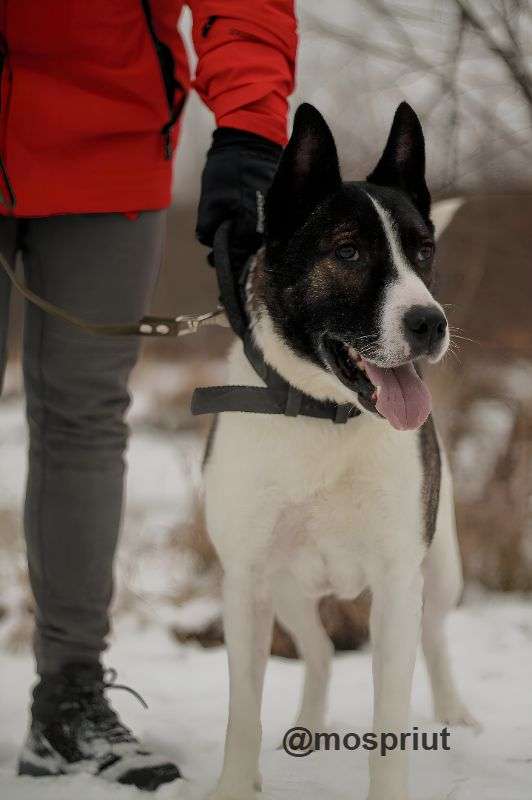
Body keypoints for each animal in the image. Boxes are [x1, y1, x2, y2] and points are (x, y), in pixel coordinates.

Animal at [206, 104, 476, 800]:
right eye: (348, 252)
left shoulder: (397, 580)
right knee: (322, 652)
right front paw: (234, 784)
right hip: (291, 591)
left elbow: (390, 720)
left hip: (440, 570)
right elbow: (241, 712)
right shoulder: (246, 582)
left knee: (435, 637)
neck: (323, 415)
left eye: (423, 252)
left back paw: (456, 714)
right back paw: (305, 725)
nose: (430, 323)